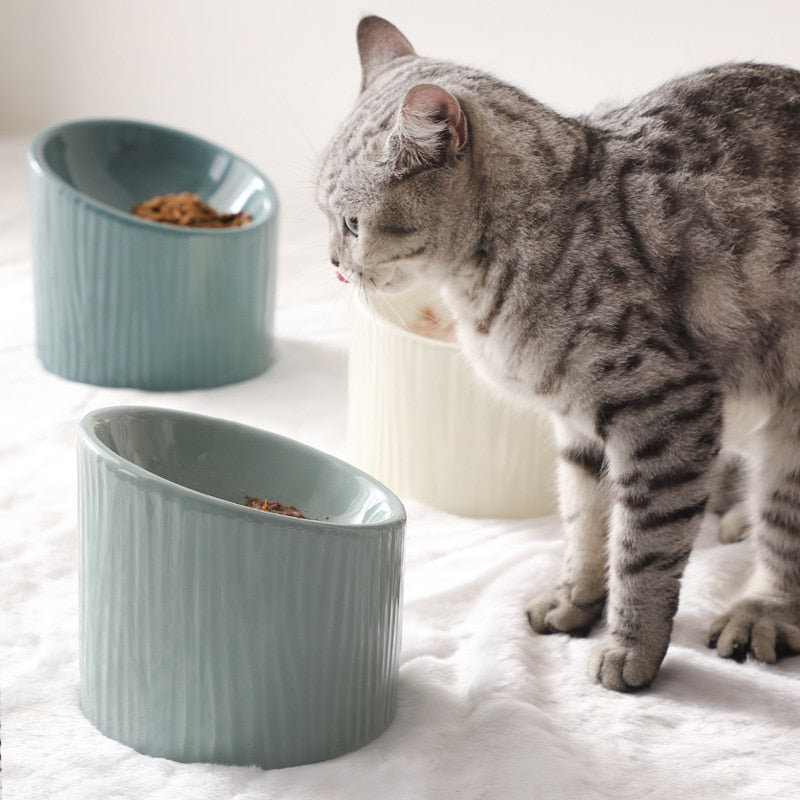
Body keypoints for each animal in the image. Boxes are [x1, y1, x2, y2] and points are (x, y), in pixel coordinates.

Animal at [316, 15, 800, 692]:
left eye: (354, 223)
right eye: (326, 215)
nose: (334, 263)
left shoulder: (666, 407)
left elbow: (643, 548)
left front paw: (629, 647)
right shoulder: (578, 425)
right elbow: (584, 523)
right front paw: (575, 601)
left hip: (791, 430)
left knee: (783, 535)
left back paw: (761, 610)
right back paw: (735, 521)